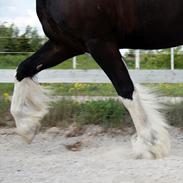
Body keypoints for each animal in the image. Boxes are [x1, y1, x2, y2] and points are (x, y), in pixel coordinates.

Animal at [11, 0, 182, 159]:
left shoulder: (99, 42)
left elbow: (125, 89)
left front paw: (150, 145)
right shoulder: (64, 44)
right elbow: (23, 69)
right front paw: (27, 127)